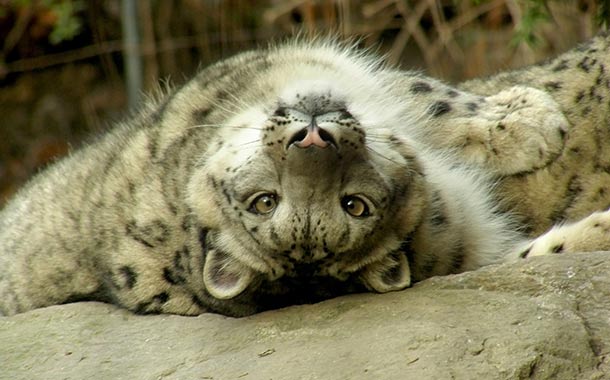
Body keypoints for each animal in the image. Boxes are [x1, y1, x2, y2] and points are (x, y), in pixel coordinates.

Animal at [0, 34, 604, 316]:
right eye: (266, 203)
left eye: (352, 205)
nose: (313, 137)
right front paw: (537, 123)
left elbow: (428, 96)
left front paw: (527, 120)